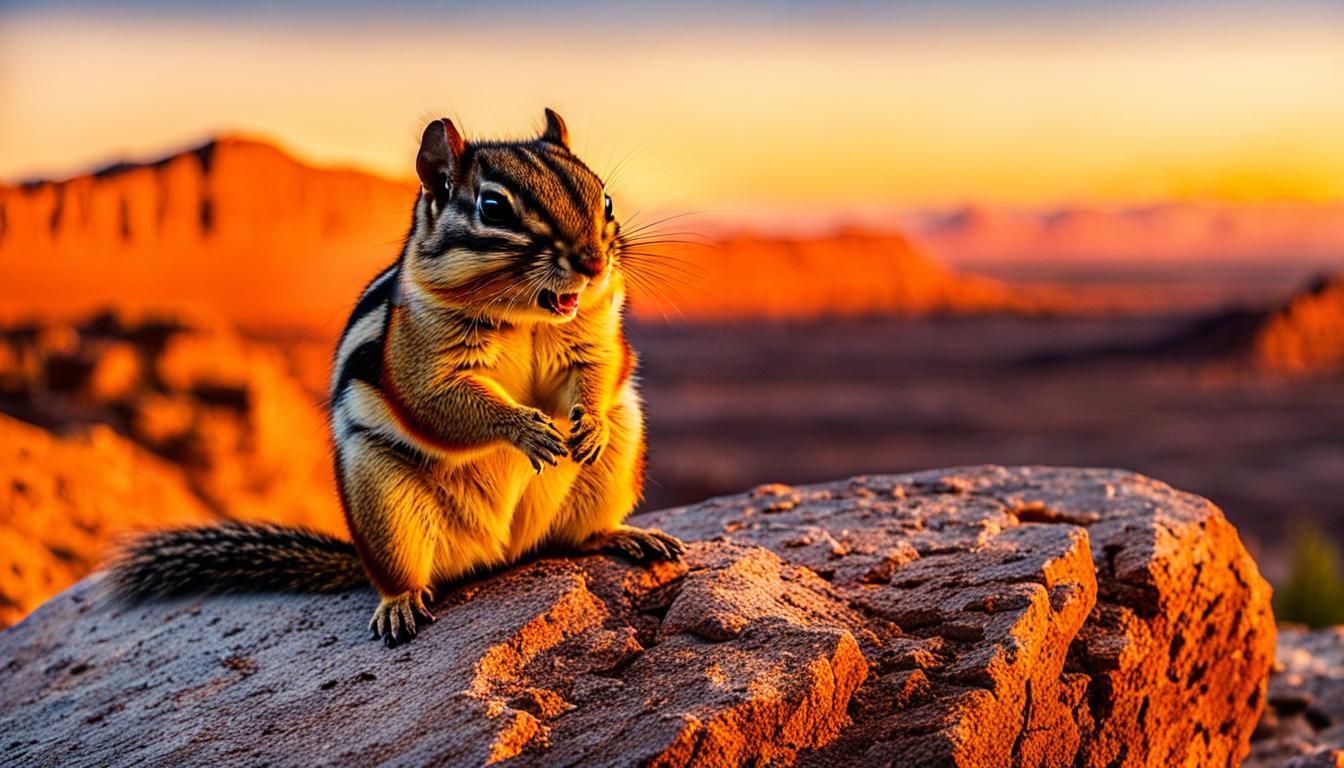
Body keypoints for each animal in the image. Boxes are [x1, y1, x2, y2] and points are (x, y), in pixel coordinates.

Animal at [112, 109, 685, 646]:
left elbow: (596, 370)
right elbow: (438, 400)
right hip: (381, 495)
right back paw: (400, 605)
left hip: (622, 445)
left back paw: (627, 537)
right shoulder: (421, 360)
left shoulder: (591, 339)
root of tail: (503, 551)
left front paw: (588, 425)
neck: (525, 316)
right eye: (494, 208)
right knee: (401, 575)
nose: (593, 263)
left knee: (574, 538)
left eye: (605, 201)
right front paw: (526, 428)